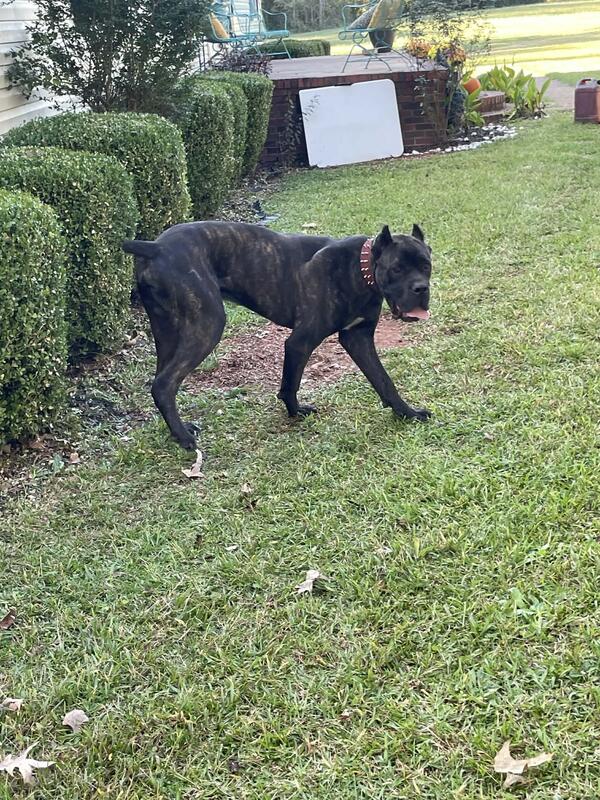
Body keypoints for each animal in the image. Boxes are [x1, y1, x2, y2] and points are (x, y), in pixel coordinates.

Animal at [122, 221, 432, 450]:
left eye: (427, 266)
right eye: (397, 269)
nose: (421, 288)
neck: (360, 267)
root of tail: (155, 247)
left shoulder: (358, 339)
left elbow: (383, 380)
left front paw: (407, 413)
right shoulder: (300, 342)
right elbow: (290, 383)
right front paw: (295, 412)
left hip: (167, 334)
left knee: (163, 381)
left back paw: (177, 431)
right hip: (207, 325)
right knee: (164, 384)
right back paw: (184, 437)